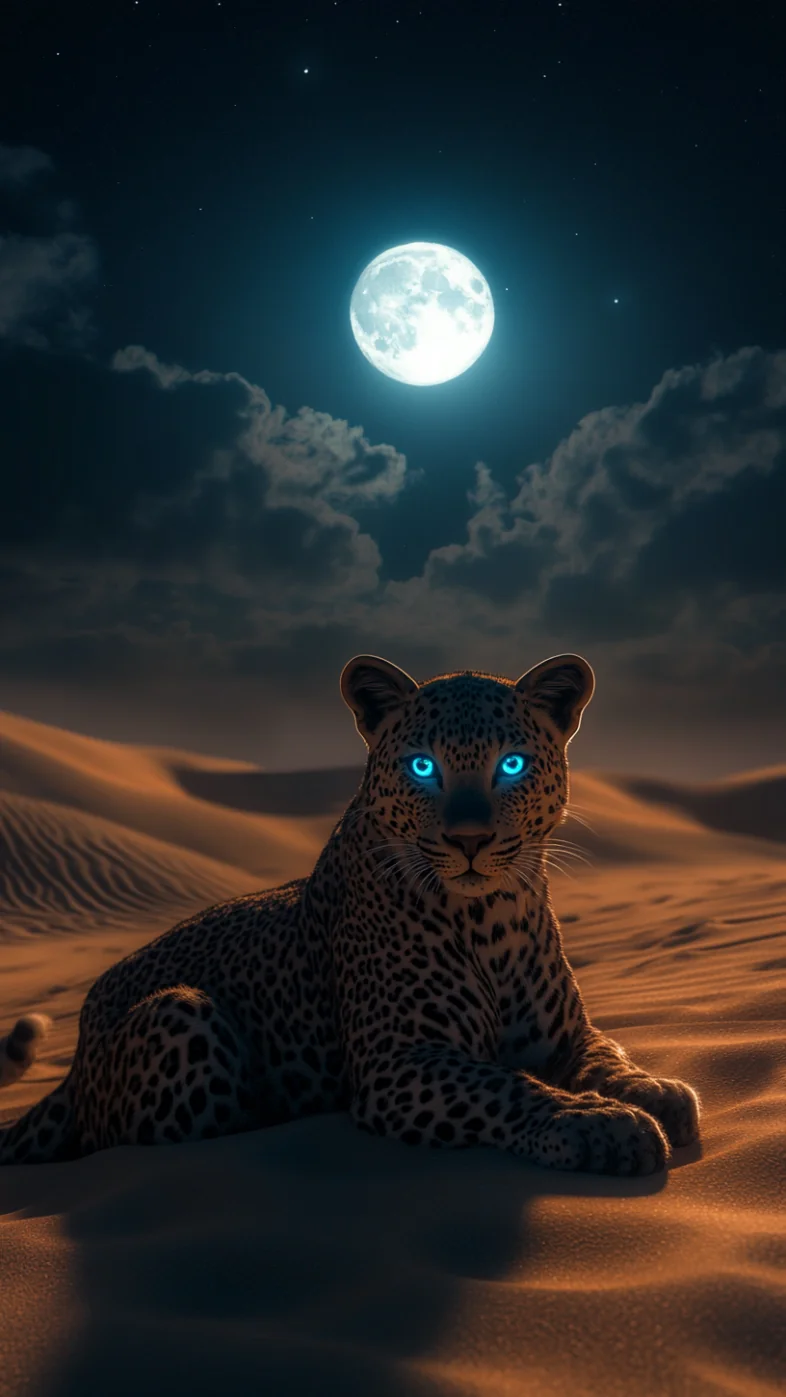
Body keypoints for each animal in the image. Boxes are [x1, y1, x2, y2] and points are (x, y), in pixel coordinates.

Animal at [0, 651, 701, 1172]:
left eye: (511, 765)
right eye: (422, 766)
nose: (469, 840)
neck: (494, 919)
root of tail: (75, 1058)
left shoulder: (568, 1036)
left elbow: (606, 1058)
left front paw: (658, 1093)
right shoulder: (399, 1063)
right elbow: (508, 1086)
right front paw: (601, 1124)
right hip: (181, 1013)